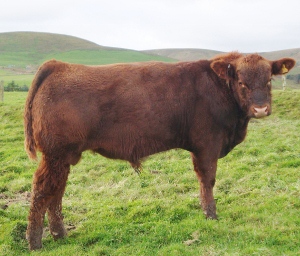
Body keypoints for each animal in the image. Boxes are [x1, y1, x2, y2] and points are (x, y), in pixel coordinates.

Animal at [24, 52, 296, 250]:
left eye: (269, 80)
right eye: (241, 82)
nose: (260, 109)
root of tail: (58, 65)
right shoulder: (207, 144)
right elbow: (207, 179)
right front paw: (211, 215)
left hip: (63, 158)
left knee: (56, 192)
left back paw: (59, 234)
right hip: (56, 155)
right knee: (42, 190)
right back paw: (35, 242)